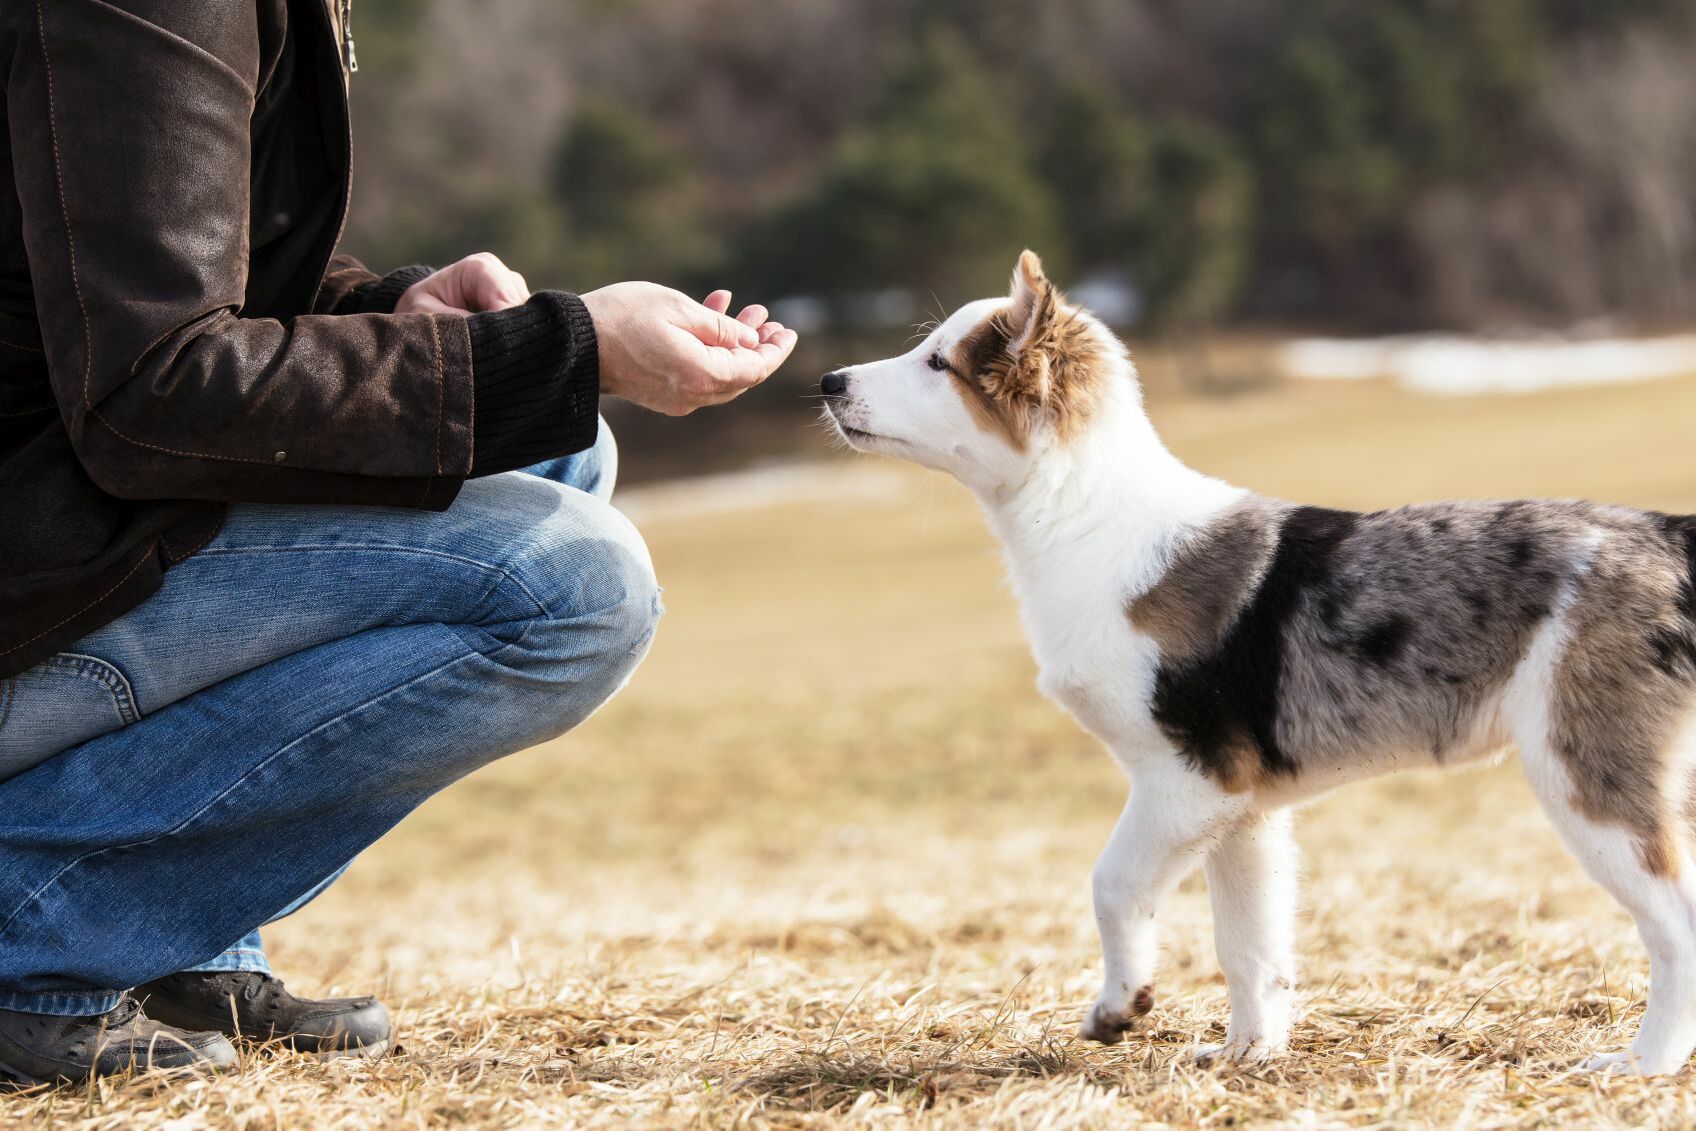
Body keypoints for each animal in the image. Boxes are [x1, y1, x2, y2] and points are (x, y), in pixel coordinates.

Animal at [817, 252, 1696, 1078]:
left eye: (939, 363)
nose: (828, 380)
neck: (1086, 519)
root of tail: (1668, 535)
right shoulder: (1244, 811)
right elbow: (1250, 943)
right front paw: (1250, 1053)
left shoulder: (1186, 779)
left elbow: (1113, 883)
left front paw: (1120, 1006)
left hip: (1586, 773)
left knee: (1676, 925)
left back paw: (1644, 1063)